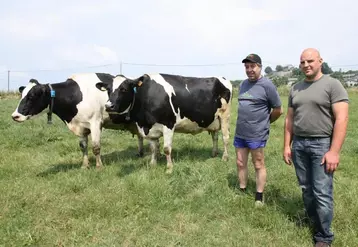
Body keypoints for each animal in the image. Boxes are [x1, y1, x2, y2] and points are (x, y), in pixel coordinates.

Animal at [11, 73, 145, 169]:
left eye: (32, 96)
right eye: (21, 95)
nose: (15, 116)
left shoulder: (95, 122)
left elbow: (96, 147)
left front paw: (99, 166)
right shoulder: (80, 125)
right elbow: (83, 146)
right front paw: (85, 166)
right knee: (140, 136)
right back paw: (140, 153)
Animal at [96, 73, 234, 174]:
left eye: (124, 89)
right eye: (108, 90)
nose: (108, 106)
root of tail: (222, 78)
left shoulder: (168, 124)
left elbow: (167, 149)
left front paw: (169, 168)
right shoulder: (150, 128)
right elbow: (153, 148)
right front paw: (152, 164)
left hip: (225, 116)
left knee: (225, 138)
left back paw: (225, 157)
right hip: (214, 119)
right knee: (215, 136)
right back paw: (214, 154)